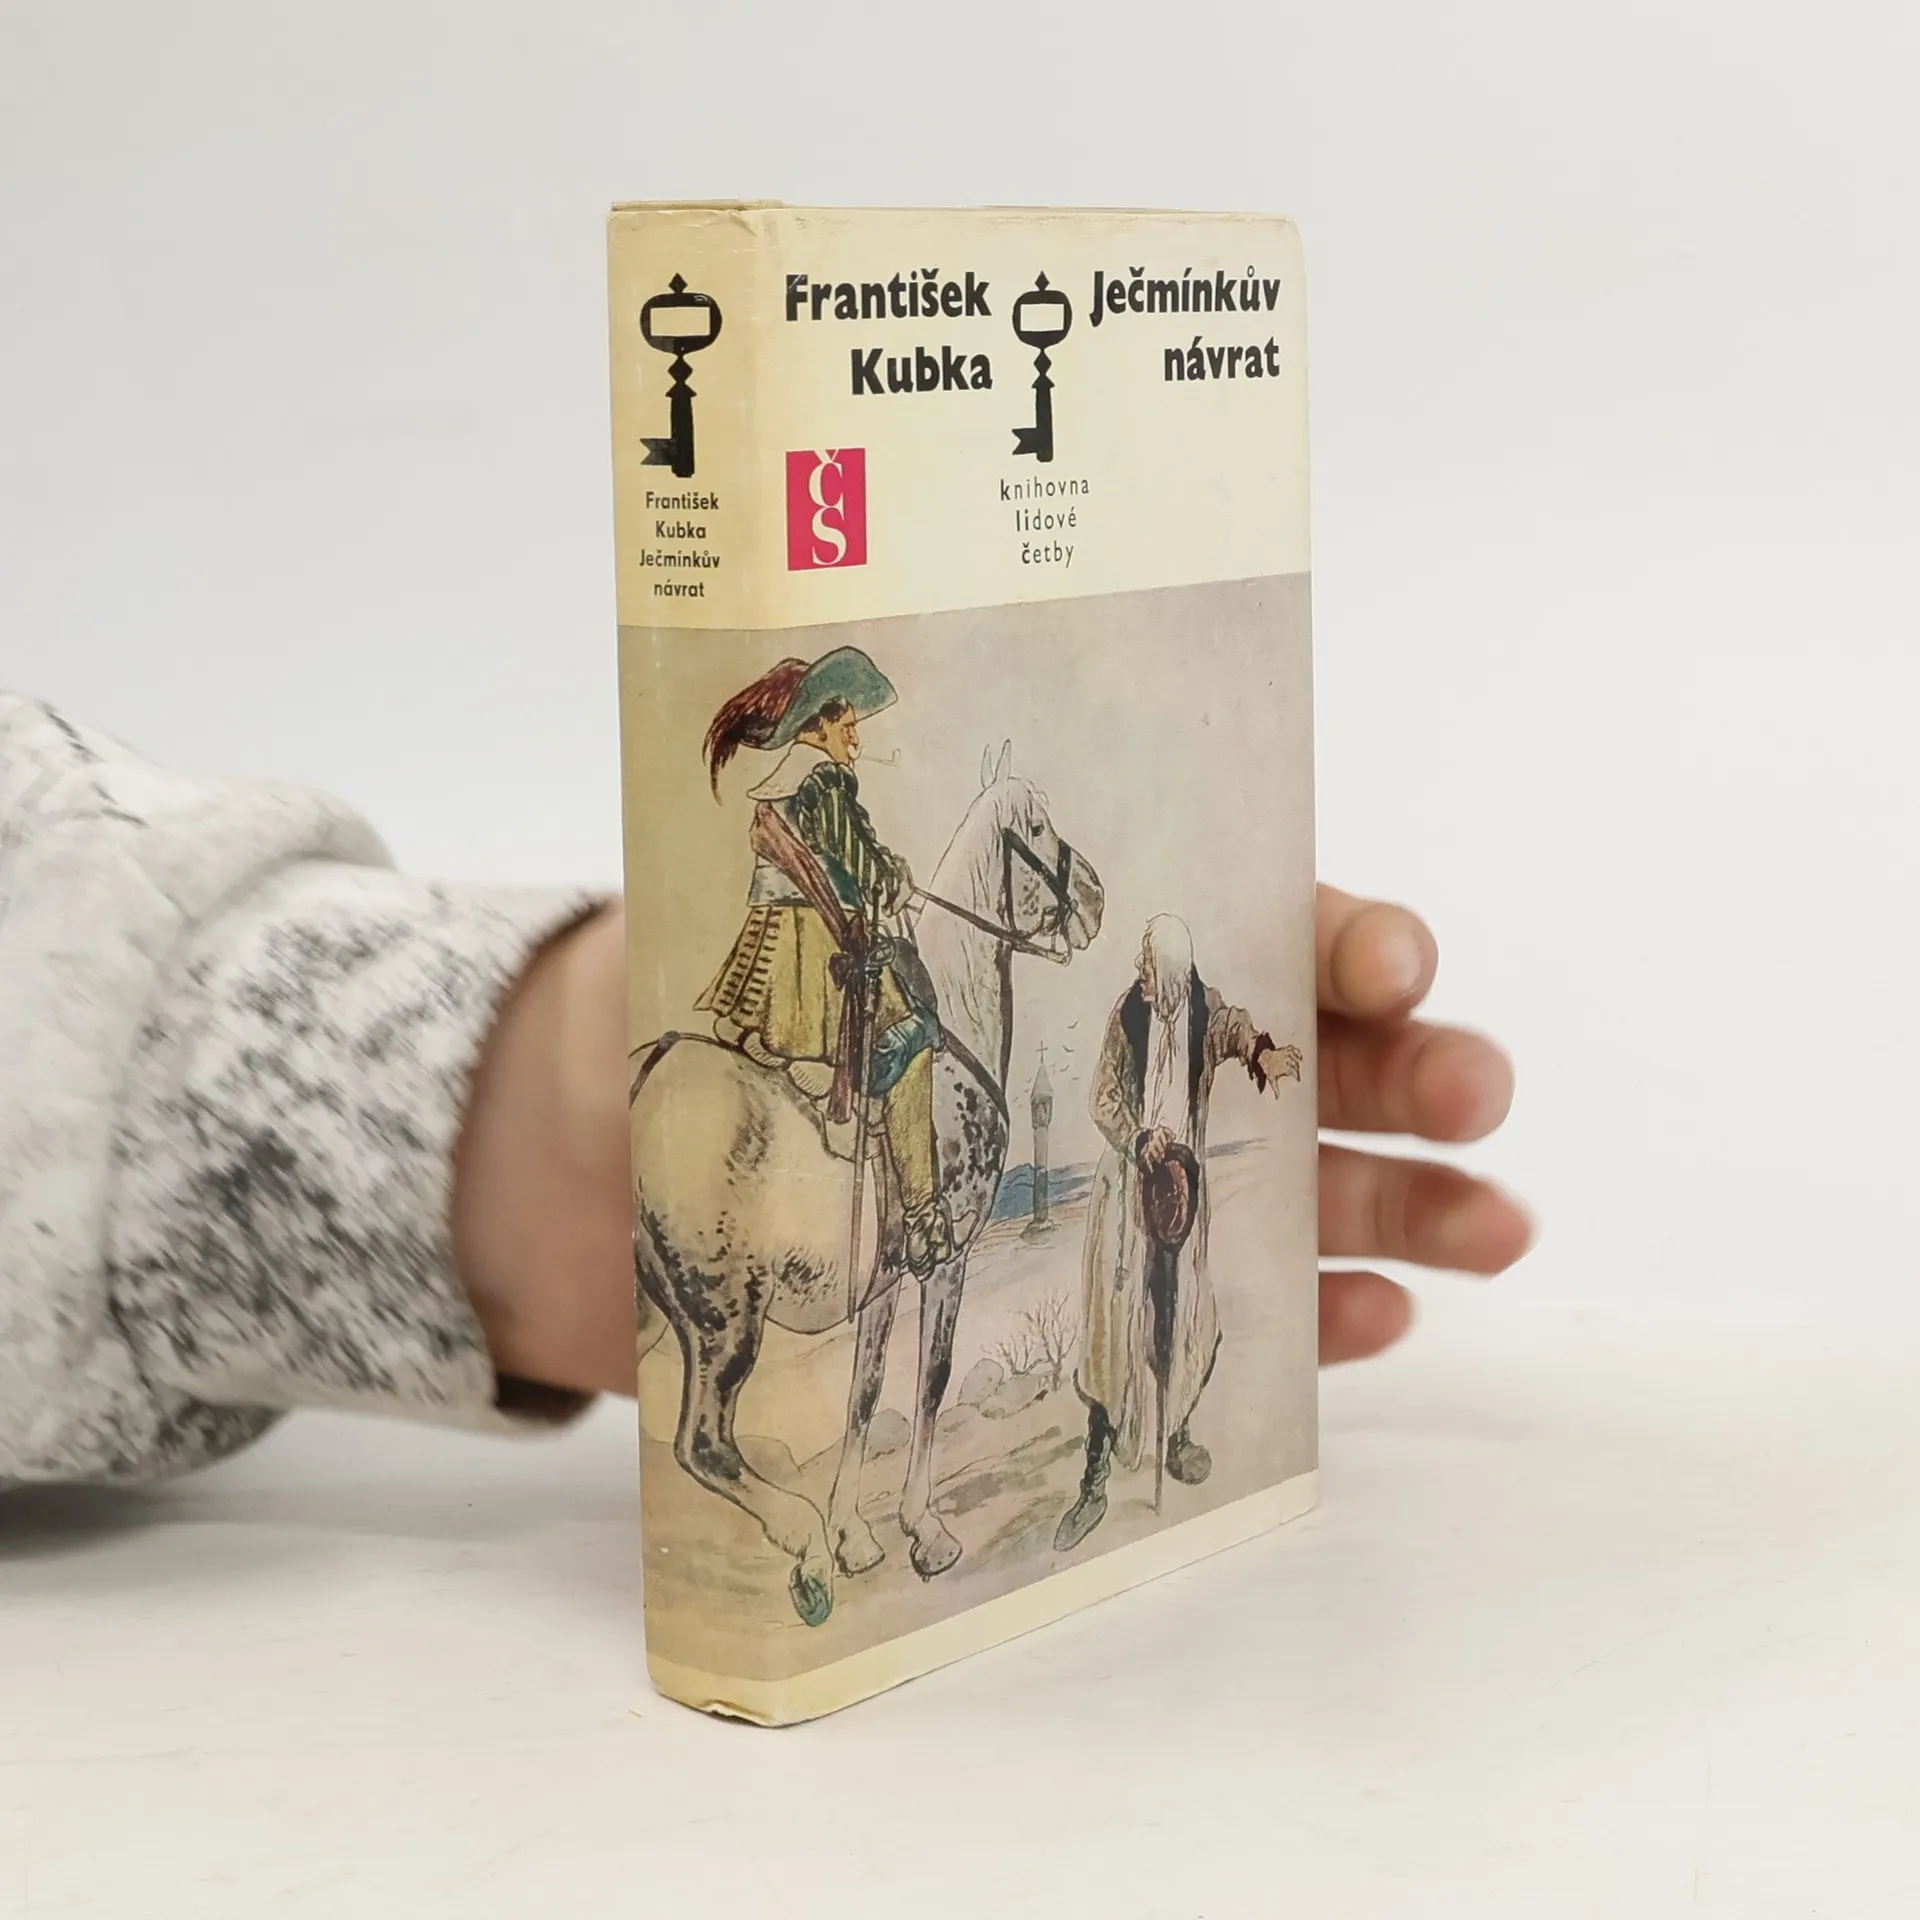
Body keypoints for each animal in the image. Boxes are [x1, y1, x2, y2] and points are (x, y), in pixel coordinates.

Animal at [629, 740, 1105, 1626]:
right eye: (1036, 827)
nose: (1093, 897)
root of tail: (646, 1074)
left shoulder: (881, 1280)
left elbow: (863, 1392)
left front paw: (857, 1534)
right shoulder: (946, 1260)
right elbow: (932, 1379)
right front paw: (923, 1531)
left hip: (655, 1310)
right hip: (724, 1320)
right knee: (702, 1443)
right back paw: (803, 1544)